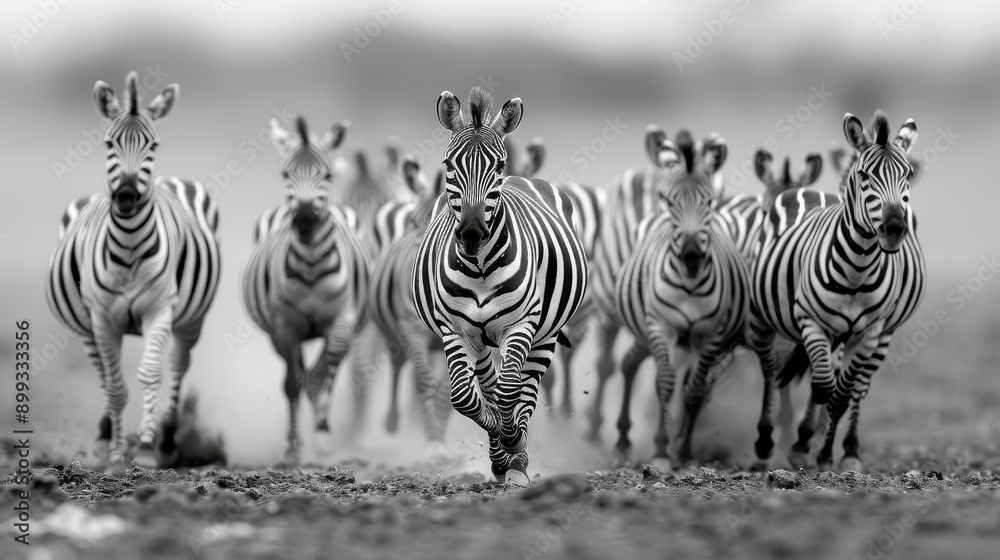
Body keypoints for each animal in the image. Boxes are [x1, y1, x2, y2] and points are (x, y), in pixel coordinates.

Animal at [45, 71, 220, 467]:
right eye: (109, 143)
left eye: (153, 145)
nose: (126, 196)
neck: (127, 246)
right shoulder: (102, 317)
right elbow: (114, 386)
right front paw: (116, 450)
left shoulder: (160, 310)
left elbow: (151, 372)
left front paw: (146, 443)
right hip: (87, 327)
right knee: (101, 371)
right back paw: (105, 431)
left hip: (191, 320)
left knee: (178, 365)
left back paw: (168, 438)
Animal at [240, 115, 370, 464]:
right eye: (286, 175)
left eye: (327, 175)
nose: (305, 221)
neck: (311, 265)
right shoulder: (285, 327)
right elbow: (292, 384)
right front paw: (292, 448)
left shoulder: (343, 317)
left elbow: (323, 371)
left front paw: (323, 436)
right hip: (278, 333)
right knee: (295, 375)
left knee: (326, 369)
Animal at [412, 87, 588, 485]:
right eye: (448, 165)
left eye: (498, 167)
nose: (472, 234)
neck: (479, 268)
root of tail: (526, 178)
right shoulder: (454, 330)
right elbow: (465, 397)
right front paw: (498, 443)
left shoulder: (521, 325)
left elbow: (510, 392)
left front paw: (513, 444)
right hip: (479, 341)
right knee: (489, 386)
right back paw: (499, 457)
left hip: (545, 334)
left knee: (524, 389)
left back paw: (517, 458)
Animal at [612, 127, 749, 469]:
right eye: (668, 199)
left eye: (709, 201)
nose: (690, 257)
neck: (690, 285)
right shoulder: (662, 326)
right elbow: (665, 383)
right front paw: (661, 450)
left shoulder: (713, 336)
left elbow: (695, 391)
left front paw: (685, 452)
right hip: (647, 328)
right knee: (630, 365)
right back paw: (624, 440)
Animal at [748, 111, 923, 471]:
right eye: (864, 175)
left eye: (908, 175)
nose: (894, 228)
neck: (857, 271)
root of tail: (803, 190)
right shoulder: (812, 323)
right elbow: (822, 387)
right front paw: (802, 446)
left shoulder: (871, 332)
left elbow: (841, 394)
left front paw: (826, 453)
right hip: (763, 318)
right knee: (770, 370)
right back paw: (766, 439)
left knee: (854, 386)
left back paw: (842, 446)